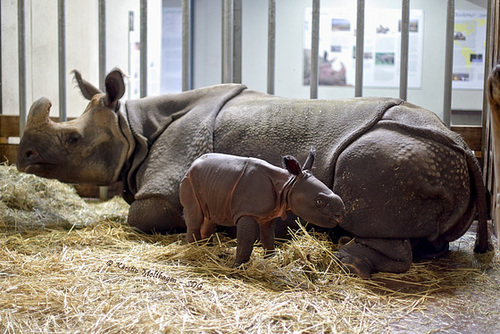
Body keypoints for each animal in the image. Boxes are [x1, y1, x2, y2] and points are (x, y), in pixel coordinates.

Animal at [179, 150, 344, 264]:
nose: (340, 215)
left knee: (209, 217)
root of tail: (192, 164)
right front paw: (238, 267)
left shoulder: (269, 214)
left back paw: (206, 248)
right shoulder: (246, 212)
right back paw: (193, 249)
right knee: (195, 216)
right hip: (189, 180)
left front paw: (270, 259)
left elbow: (268, 237)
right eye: (319, 202)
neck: (288, 184)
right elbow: (246, 240)